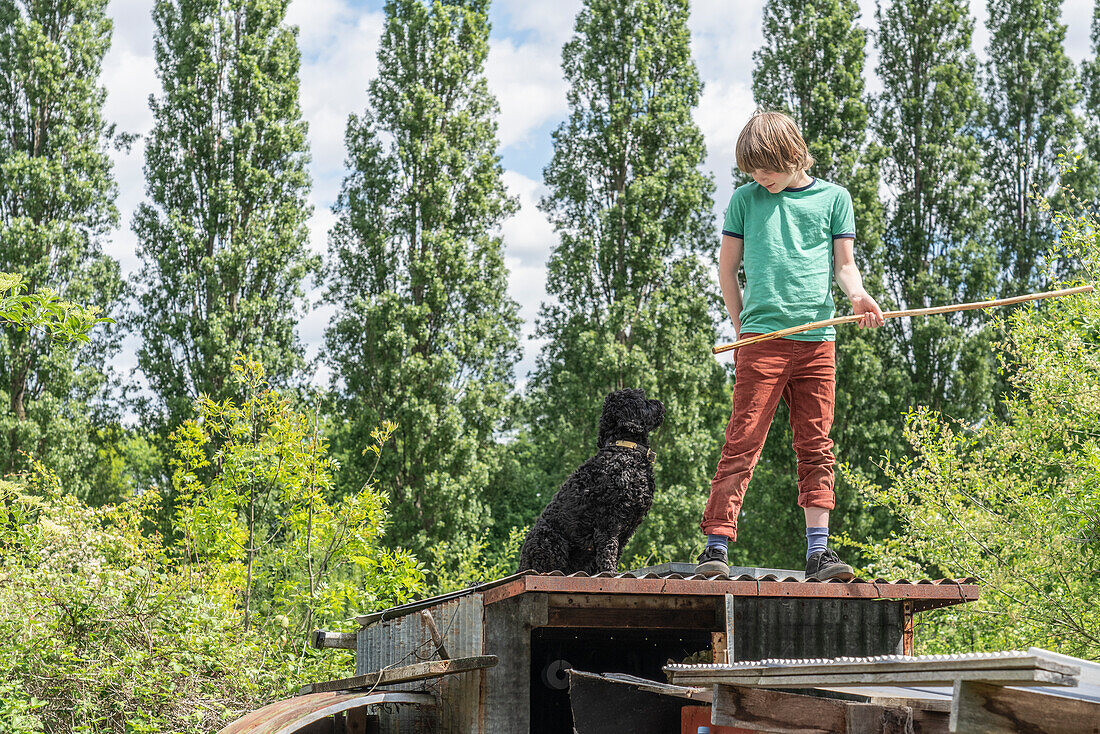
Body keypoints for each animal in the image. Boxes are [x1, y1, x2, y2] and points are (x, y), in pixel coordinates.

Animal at [519, 387, 664, 576]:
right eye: (643, 399)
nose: (660, 404)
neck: (624, 451)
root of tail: (521, 565)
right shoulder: (609, 521)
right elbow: (609, 549)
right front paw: (611, 572)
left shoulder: (628, 526)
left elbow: (616, 551)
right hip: (550, 542)